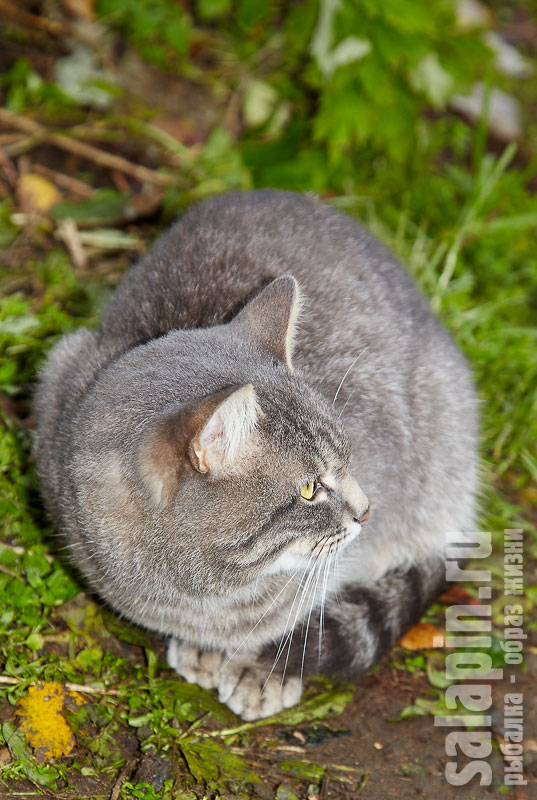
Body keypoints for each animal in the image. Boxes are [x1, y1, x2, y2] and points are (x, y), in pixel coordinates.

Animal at [34, 192, 478, 720]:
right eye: (308, 489)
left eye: (349, 458)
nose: (368, 511)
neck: (198, 591)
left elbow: (299, 608)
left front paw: (265, 664)